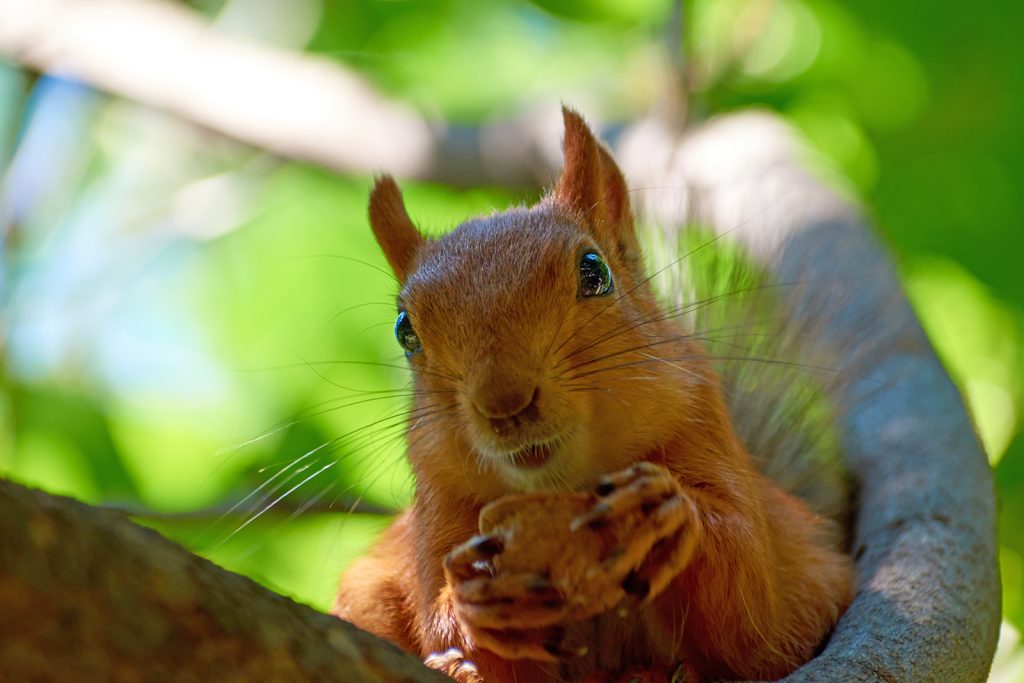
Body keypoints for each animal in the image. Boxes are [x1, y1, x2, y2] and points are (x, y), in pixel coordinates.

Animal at [331, 108, 851, 683]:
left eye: (594, 271)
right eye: (405, 330)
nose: (504, 403)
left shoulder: (704, 428)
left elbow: (751, 601)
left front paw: (660, 516)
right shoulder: (438, 508)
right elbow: (448, 620)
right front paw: (471, 604)